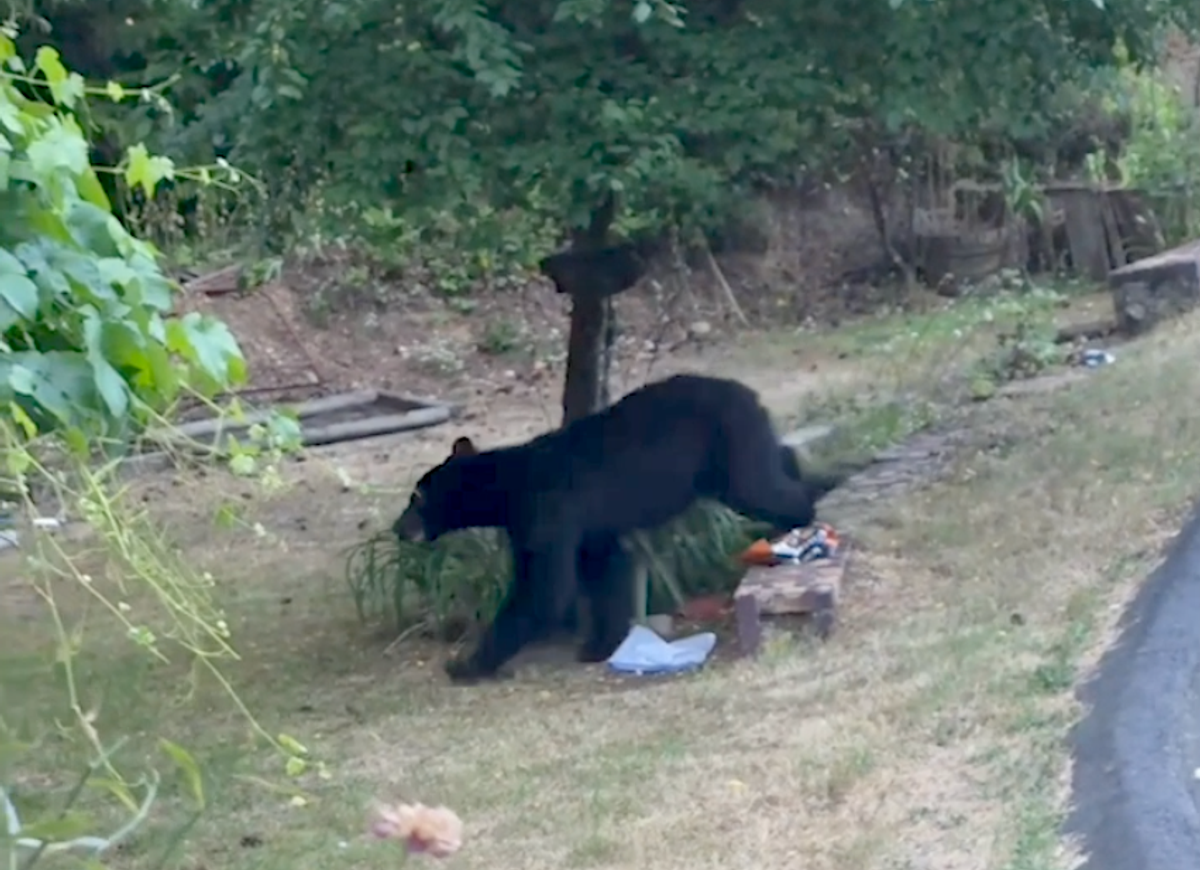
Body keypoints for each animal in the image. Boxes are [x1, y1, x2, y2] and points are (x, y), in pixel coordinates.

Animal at [392, 373, 850, 683]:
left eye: (416, 499)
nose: (398, 528)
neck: (507, 486)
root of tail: (748, 393)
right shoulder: (588, 528)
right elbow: (604, 567)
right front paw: (601, 643)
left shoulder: (546, 512)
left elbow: (545, 589)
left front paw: (466, 664)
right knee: (778, 460)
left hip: (728, 444)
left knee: (761, 486)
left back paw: (798, 517)